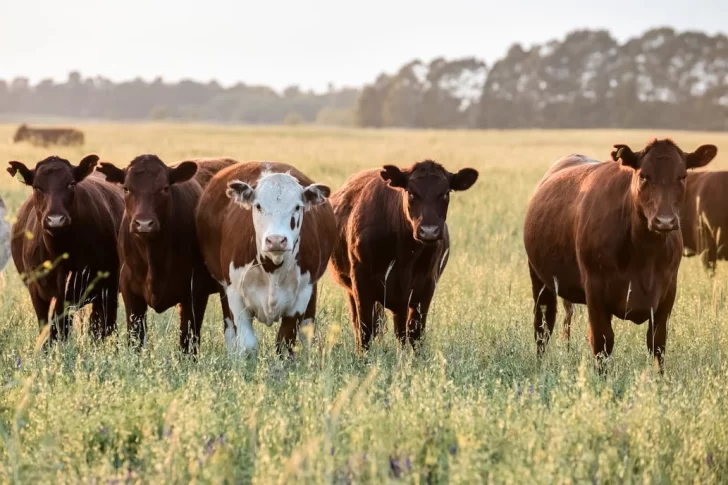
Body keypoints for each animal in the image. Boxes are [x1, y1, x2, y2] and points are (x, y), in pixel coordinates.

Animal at [7, 154, 123, 340]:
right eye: (37, 187)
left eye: (71, 184)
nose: (56, 220)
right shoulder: (41, 295)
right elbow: (51, 332)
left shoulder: (108, 288)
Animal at [96, 156, 236, 356]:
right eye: (126, 188)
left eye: (164, 188)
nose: (143, 223)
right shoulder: (130, 291)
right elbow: (135, 338)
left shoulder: (195, 292)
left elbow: (188, 340)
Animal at [193, 163, 336, 356]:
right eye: (258, 206)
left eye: (297, 207)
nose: (276, 239)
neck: (272, 268)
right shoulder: (235, 294)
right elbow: (247, 344)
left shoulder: (301, 296)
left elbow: (285, 343)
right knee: (230, 331)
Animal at [328, 161, 478, 350]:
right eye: (411, 192)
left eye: (445, 193)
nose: (429, 231)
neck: (404, 254)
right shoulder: (361, 282)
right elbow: (365, 330)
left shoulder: (425, 286)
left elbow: (413, 333)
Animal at [524, 138, 716, 372]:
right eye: (643, 175)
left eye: (683, 176)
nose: (665, 221)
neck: (644, 254)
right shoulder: (595, 289)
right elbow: (602, 342)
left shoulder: (668, 291)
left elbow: (658, 343)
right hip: (540, 279)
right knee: (543, 326)